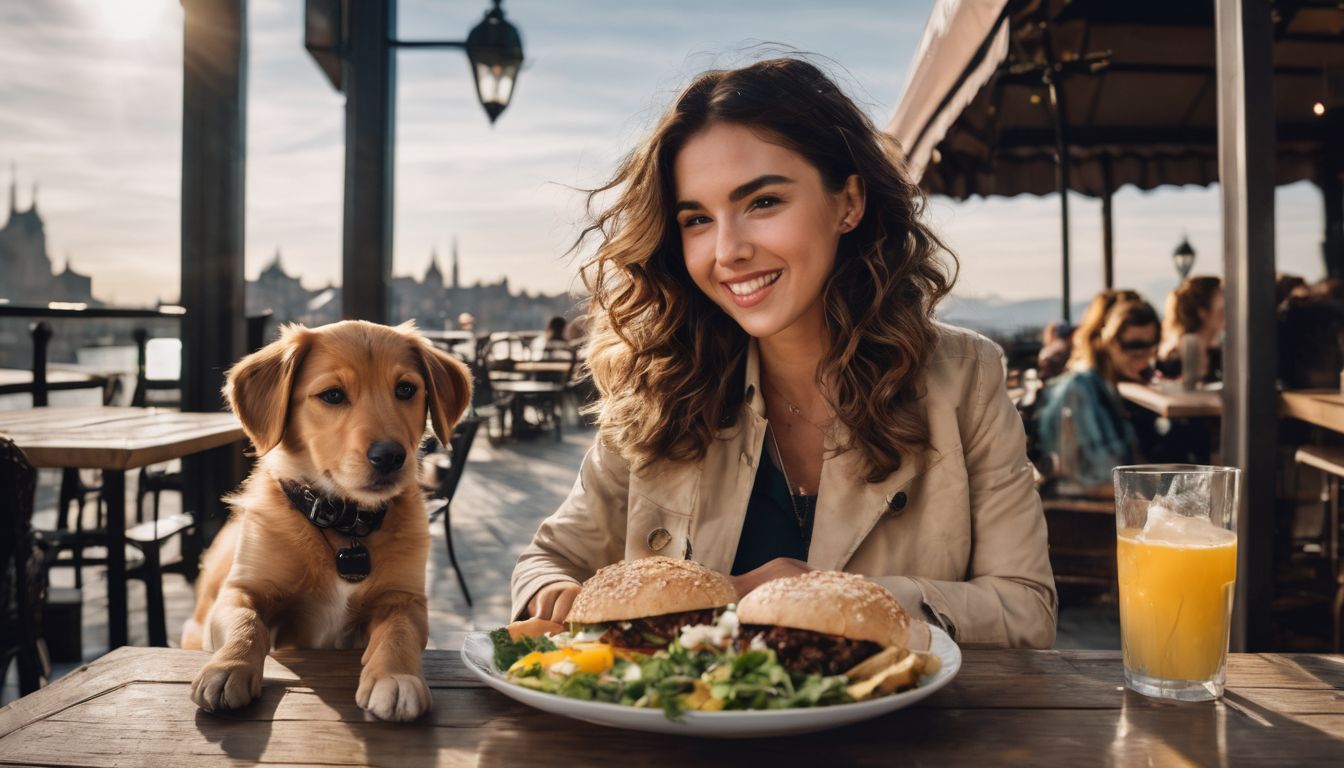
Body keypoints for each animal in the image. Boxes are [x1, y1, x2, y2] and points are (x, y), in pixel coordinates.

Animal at [184, 318, 467, 720]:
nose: (390, 456)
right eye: (333, 395)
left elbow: (399, 631)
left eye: (406, 389)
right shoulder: (241, 590)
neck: (346, 525)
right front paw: (228, 667)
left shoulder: (405, 598)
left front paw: (395, 676)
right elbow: (246, 624)